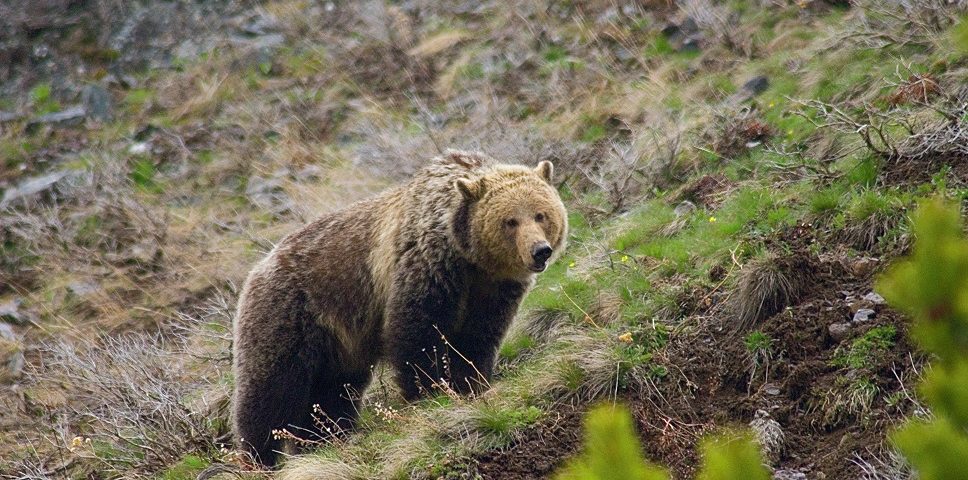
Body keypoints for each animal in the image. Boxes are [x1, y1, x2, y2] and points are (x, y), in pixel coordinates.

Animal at [231, 150, 567, 466]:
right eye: (510, 221)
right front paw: (430, 392)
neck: (468, 258)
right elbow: (417, 335)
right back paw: (259, 456)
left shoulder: (493, 290)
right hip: (289, 316)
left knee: (332, 392)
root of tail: (257, 268)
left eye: (541, 214)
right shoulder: (426, 269)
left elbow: (478, 338)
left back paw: (325, 440)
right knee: (270, 391)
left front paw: (471, 383)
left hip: (338, 345)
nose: (540, 251)